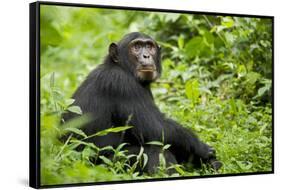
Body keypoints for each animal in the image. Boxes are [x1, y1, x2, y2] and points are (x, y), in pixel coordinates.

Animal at [62, 31, 222, 173]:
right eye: (137, 47)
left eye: (149, 46)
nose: (146, 55)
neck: (123, 68)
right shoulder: (123, 85)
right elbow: (156, 127)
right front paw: (203, 148)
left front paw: (211, 162)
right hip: (104, 165)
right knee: (155, 150)